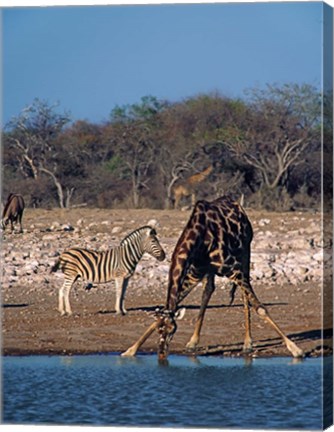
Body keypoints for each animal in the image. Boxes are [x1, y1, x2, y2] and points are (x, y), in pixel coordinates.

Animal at [121, 196, 304, 362]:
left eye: (173, 329)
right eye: (159, 330)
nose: (161, 355)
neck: (198, 238)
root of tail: (237, 204)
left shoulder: (233, 269)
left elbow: (260, 308)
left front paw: (295, 349)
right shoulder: (194, 273)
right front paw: (130, 351)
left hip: (245, 253)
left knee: (244, 296)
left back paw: (247, 343)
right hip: (209, 271)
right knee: (208, 291)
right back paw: (193, 342)